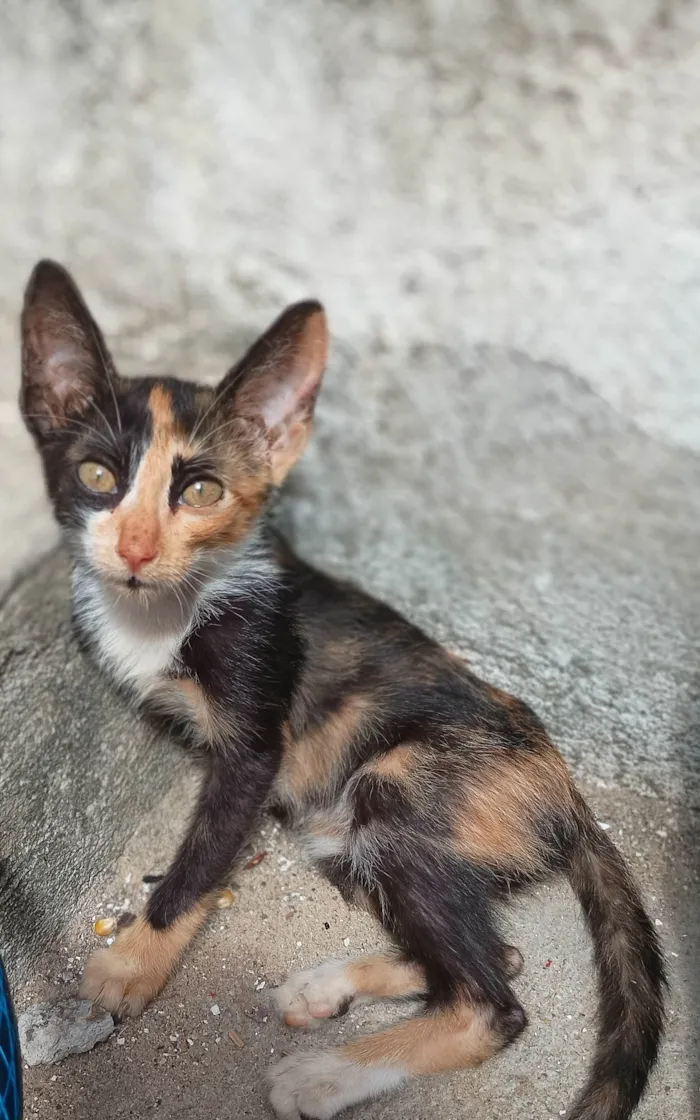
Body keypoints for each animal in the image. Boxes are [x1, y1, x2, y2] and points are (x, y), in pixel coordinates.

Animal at [21, 259, 663, 1120]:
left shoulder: (255, 748)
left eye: (202, 492)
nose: (134, 549)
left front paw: (131, 964)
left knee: (491, 1002)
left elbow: (199, 860)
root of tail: (567, 791)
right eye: (96, 475)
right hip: (339, 830)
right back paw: (330, 990)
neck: (162, 608)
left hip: (397, 788)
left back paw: (326, 1074)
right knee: (500, 953)